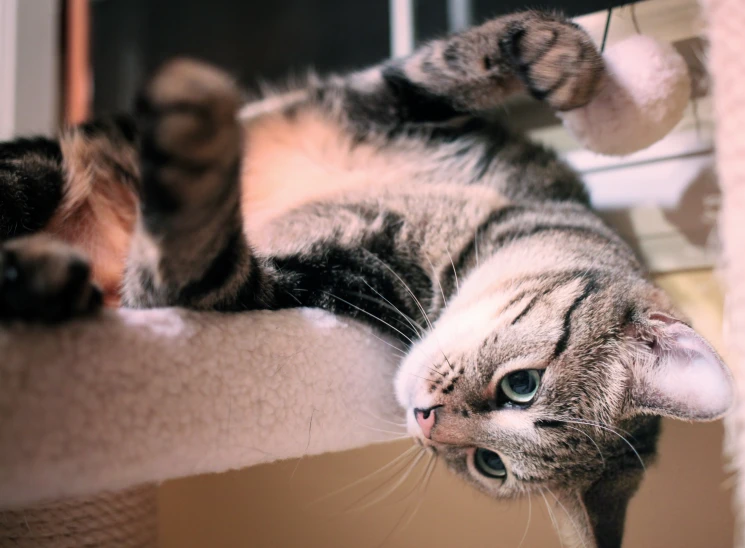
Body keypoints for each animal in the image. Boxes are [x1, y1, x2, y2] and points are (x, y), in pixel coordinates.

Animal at [0, 9, 732, 548]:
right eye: (522, 385)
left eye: (488, 466)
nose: (426, 421)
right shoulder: (382, 102)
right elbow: (448, 63)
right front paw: (560, 52)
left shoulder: (274, 285)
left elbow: (195, 258)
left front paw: (194, 161)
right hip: (39, 169)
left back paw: (44, 279)